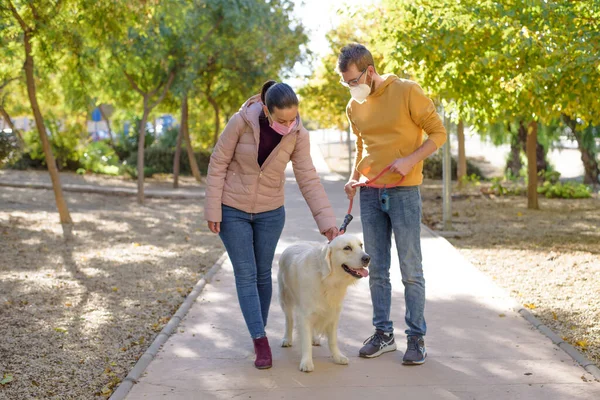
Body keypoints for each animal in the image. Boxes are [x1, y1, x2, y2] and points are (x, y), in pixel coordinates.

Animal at [278, 234, 370, 372]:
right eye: (347, 248)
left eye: (361, 245)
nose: (367, 258)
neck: (327, 280)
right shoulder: (304, 314)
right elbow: (305, 341)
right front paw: (306, 362)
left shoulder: (334, 313)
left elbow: (333, 340)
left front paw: (338, 357)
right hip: (285, 298)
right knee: (289, 320)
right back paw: (287, 339)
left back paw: (315, 338)